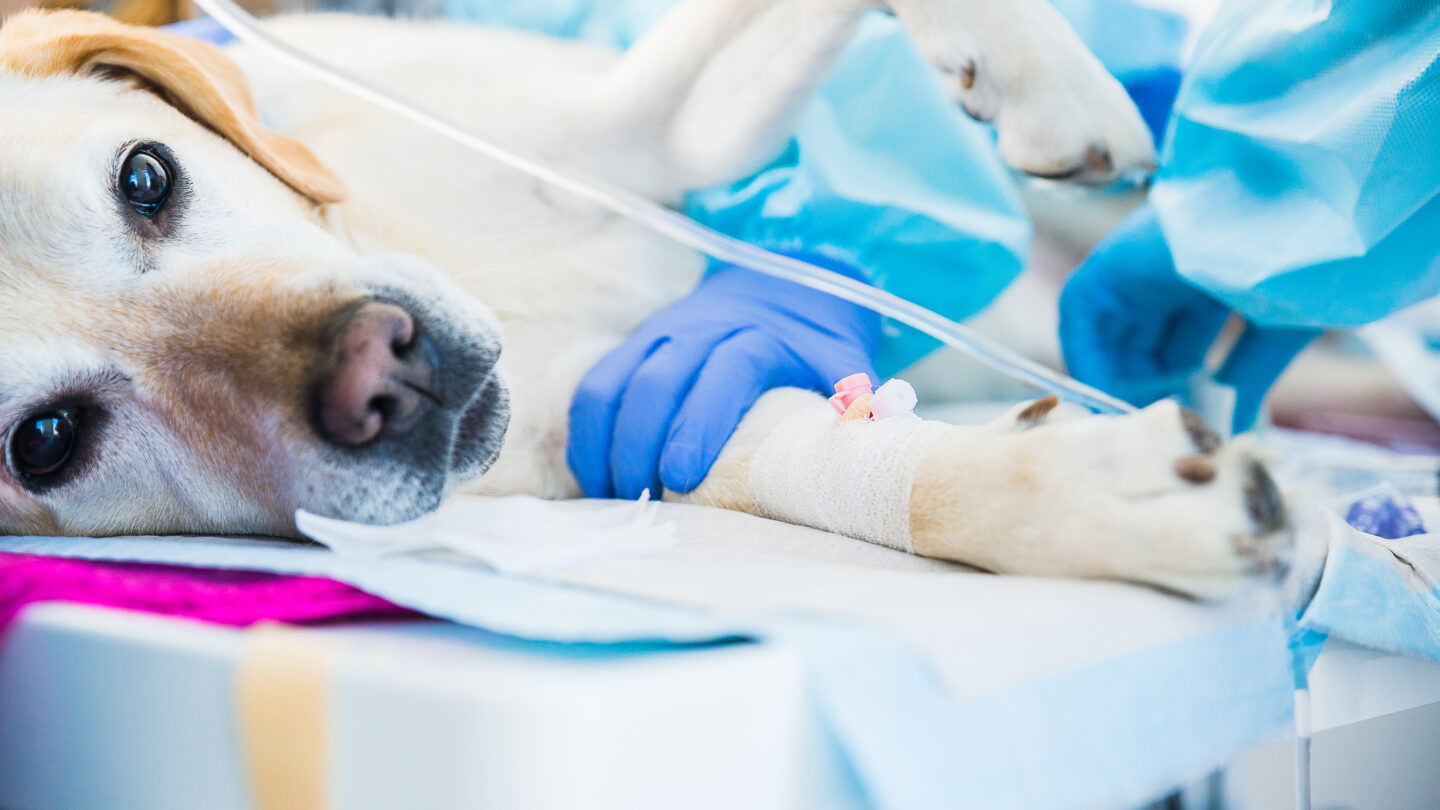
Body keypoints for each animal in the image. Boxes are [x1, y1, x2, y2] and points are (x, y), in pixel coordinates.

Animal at [0, 2, 1290, 597]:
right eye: (46, 440)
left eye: (146, 179)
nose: (385, 374)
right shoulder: (627, 422)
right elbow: (840, 459)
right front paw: (1097, 494)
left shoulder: (639, 133)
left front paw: (1047, 82)